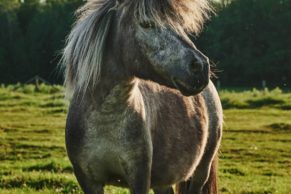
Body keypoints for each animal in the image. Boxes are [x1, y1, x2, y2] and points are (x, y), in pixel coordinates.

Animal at [61, 0, 224, 194]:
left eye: (179, 23)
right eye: (146, 24)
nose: (200, 66)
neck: (105, 120)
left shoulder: (139, 176)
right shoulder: (87, 179)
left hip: (200, 171)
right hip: (163, 181)